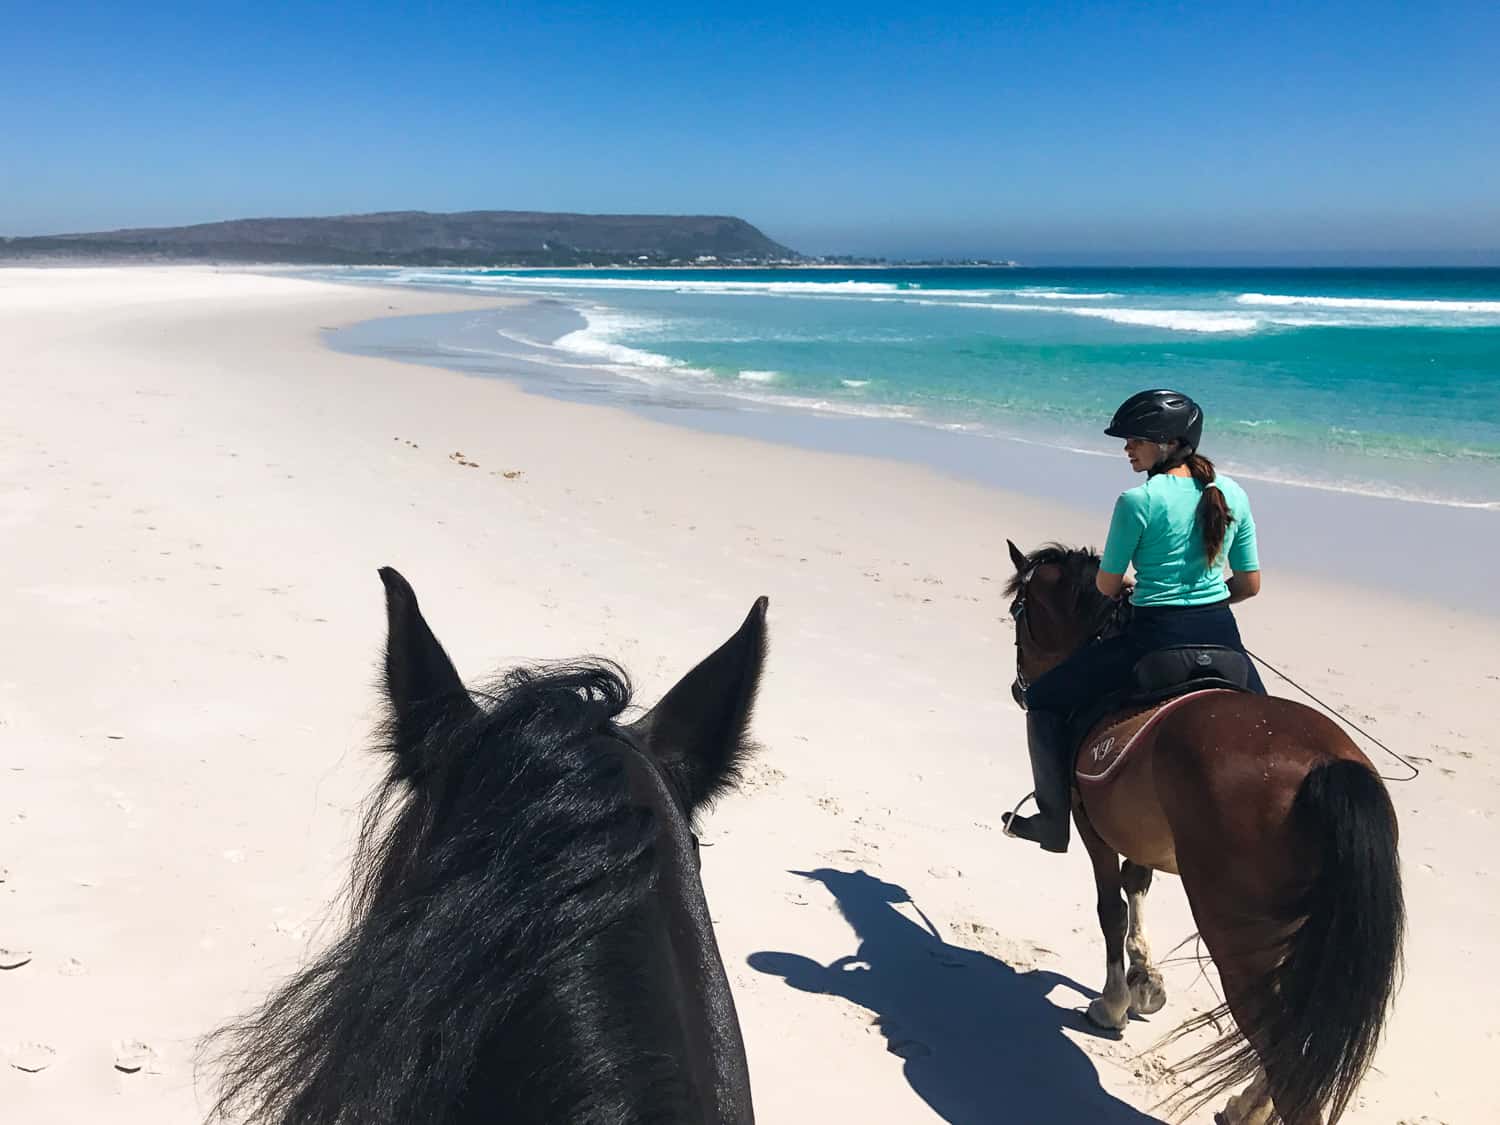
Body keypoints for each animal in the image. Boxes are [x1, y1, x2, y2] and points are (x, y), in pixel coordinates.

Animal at [1002, 543, 1398, 1122]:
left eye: (1020, 612)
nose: (1019, 688)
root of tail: (1325, 767)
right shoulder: (1141, 831)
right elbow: (1137, 885)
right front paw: (1146, 984)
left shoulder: (1093, 827)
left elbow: (1110, 910)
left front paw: (1113, 1004)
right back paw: (1243, 1105)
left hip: (1239, 936)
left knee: (1280, 1045)